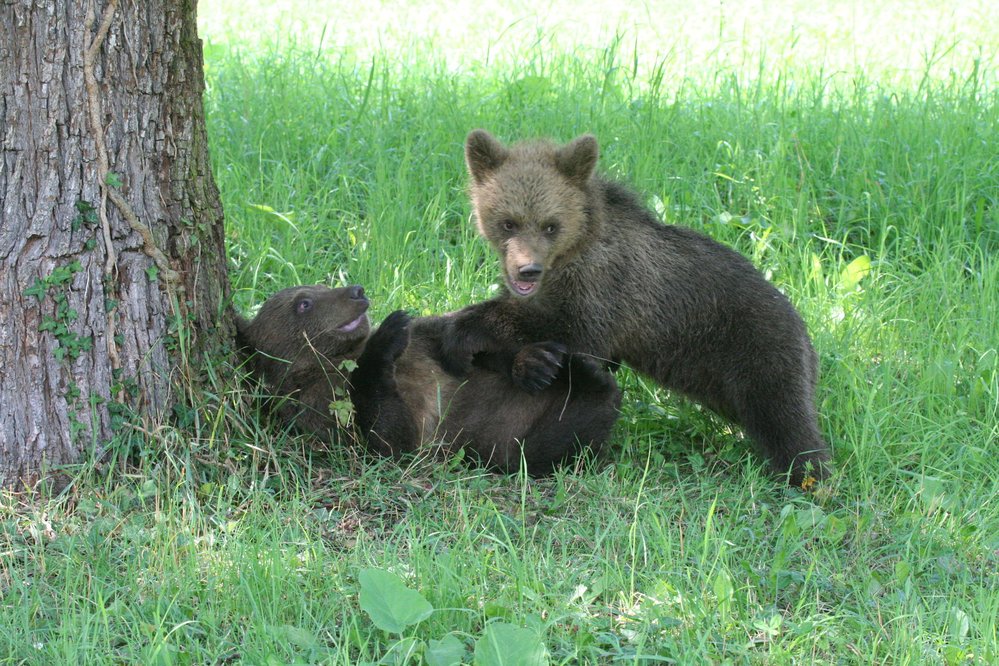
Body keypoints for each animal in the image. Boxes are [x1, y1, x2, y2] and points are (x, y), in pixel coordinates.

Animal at [237, 282, 620, 474]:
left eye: (323, 283)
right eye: (303, 303)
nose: (356, 290)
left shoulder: (425, 342)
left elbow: (456, 338)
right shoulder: (323, 407)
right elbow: (389, 437)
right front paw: (387, 335)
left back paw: (556, 364)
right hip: (512, 441)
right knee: (553, 443)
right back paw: (591, 381)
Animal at [446, 130, 836, 486]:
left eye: (550, 225)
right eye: (508, 222)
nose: (527, 269)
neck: (570, 255)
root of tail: (807, 335)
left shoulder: (602, 291)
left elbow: (568, 331)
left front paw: (465, 327)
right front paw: (526, 361)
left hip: (760, 353)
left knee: (786, 422)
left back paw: (809, 475)